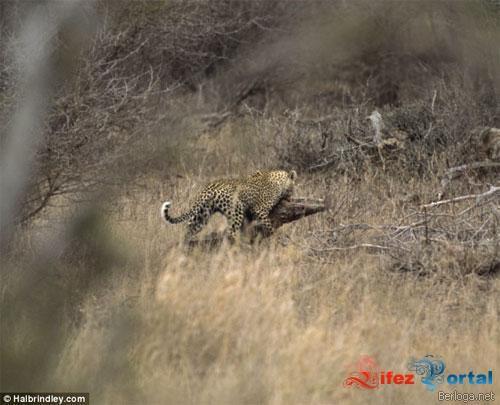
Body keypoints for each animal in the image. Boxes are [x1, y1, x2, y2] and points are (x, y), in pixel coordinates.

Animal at [162, 169, 296, 241]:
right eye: (293, 187)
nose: (292, 196)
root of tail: (208, 188)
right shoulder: (260, 209)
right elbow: (269, 225)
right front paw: (276, 236)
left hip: (202, 214)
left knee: (188, 229)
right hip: (237, 210)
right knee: (230, 233)